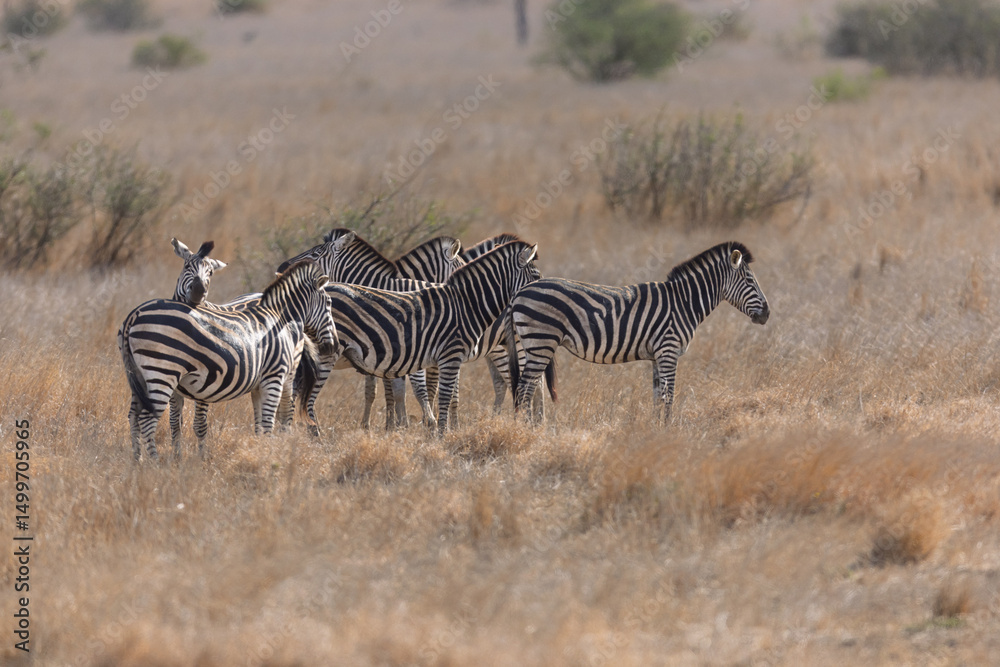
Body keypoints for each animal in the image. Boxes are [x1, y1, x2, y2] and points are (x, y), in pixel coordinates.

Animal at [119, 260, 337, 460]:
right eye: (329, 303)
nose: (332, 346)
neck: (281, 319)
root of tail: (134, 314)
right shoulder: (274, 377)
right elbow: (269, 423)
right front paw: (269, 456)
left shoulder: (258, 384)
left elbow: (259, 424)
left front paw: (261, 452)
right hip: (162, 371)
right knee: (147, 419)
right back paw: (154, 463)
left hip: (139, 375)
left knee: (133, 417)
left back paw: (137, 461)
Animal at [277, 229, 465, 429]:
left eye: (315, 254)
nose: (281, 268)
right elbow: (391, 390)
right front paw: (396, 424)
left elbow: (390, 390)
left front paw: (397, 424)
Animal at [300, 239, 541, 434]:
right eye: (536, 276)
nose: (539, 295)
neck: (466, 303)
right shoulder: (446, 355)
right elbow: (437, 395)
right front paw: (438, 433)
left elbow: (423, 393)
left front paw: (415, 428)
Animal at [507, 241, 769, 423]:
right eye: (749, 280)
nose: (766, 313)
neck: (684, 302)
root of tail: (519, 293)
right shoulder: (669, 350)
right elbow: (669, 396)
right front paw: (668, 431)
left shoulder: (657, 356)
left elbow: (657, 397)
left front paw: (655, 431)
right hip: (542, 341)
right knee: (524, 389)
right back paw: (524, 430)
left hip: (531, 345)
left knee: (526, 388)